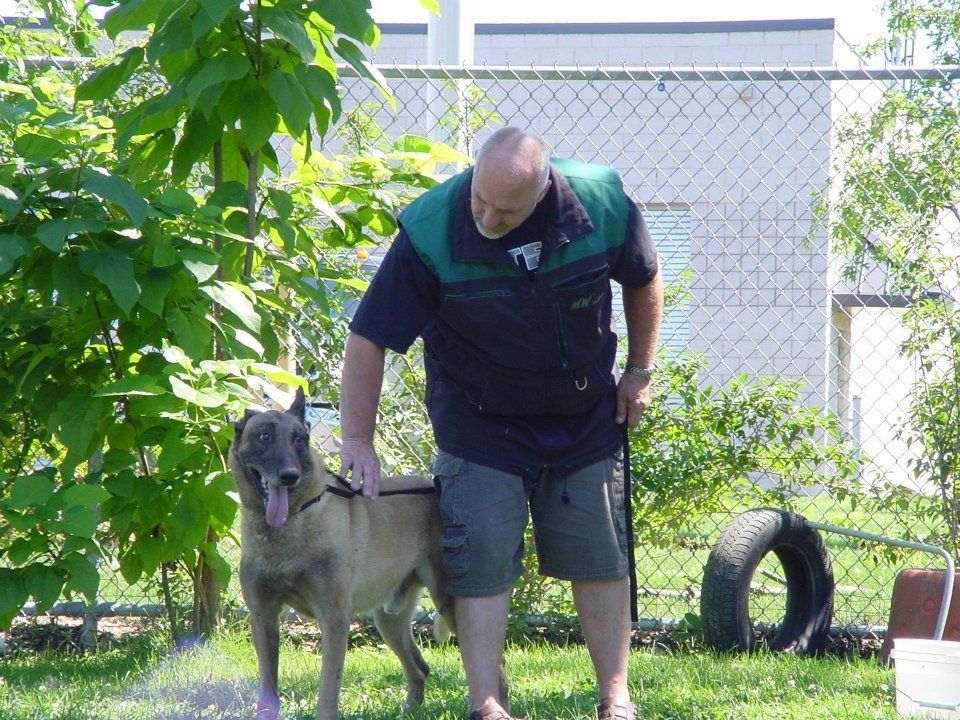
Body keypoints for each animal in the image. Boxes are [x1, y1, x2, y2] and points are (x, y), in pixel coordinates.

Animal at [230, 388, 454, 720]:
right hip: (389, 620)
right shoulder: (263, 617)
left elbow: (328, 692)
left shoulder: (334, 619)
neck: (293, 521)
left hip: (449, 605)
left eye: (300, 440)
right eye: (264, 436)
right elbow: (268, 691)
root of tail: (433, 486)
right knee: (420, 669)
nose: (289, 476)